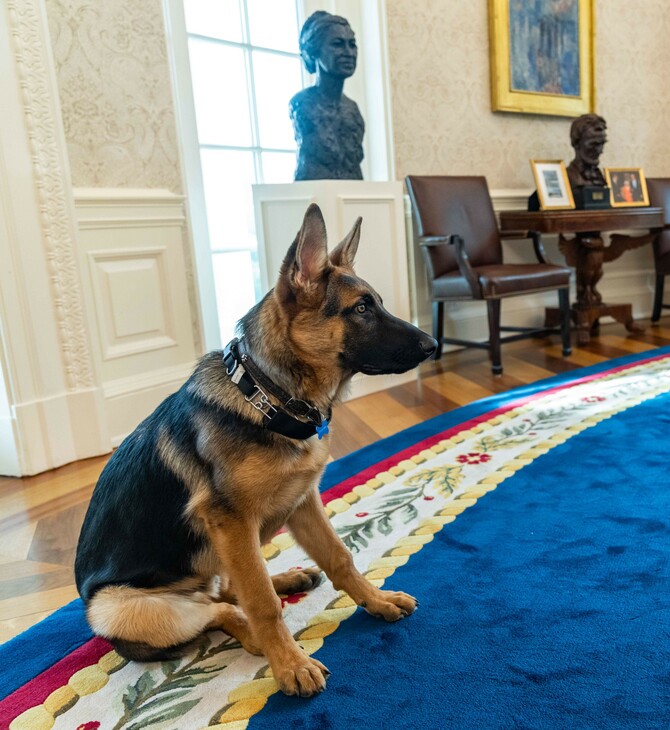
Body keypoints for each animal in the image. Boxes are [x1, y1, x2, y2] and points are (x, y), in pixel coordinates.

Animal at [76, 203, 438, 692]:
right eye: (362, 308)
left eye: (375, 302)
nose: (434, 344)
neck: (267, 395)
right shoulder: (231, 521)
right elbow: (262, 603)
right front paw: (288, 664)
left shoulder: (302, 501)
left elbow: (340, 556)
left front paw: (376, 599)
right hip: (119, 605)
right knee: (220, 608)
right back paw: (253, 635)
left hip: (251, 533)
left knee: (228, 589)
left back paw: (287, 577)